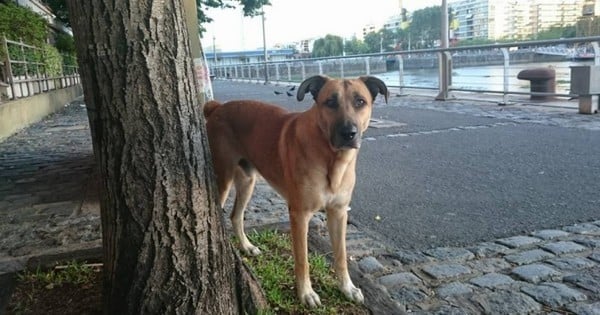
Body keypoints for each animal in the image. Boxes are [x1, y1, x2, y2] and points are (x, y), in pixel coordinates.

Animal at [204, 75, 386, 308]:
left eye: (360, 101)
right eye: (330, 102)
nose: (349, 133)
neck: (331, 159)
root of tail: (217, 107)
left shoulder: (338, 213)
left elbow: (341, 256)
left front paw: (347, 288)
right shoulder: (299, 215)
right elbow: (302, 260)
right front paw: (306, 294)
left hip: (247, 180)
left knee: (236, 216)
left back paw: (246, 247)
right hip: (223, 179)